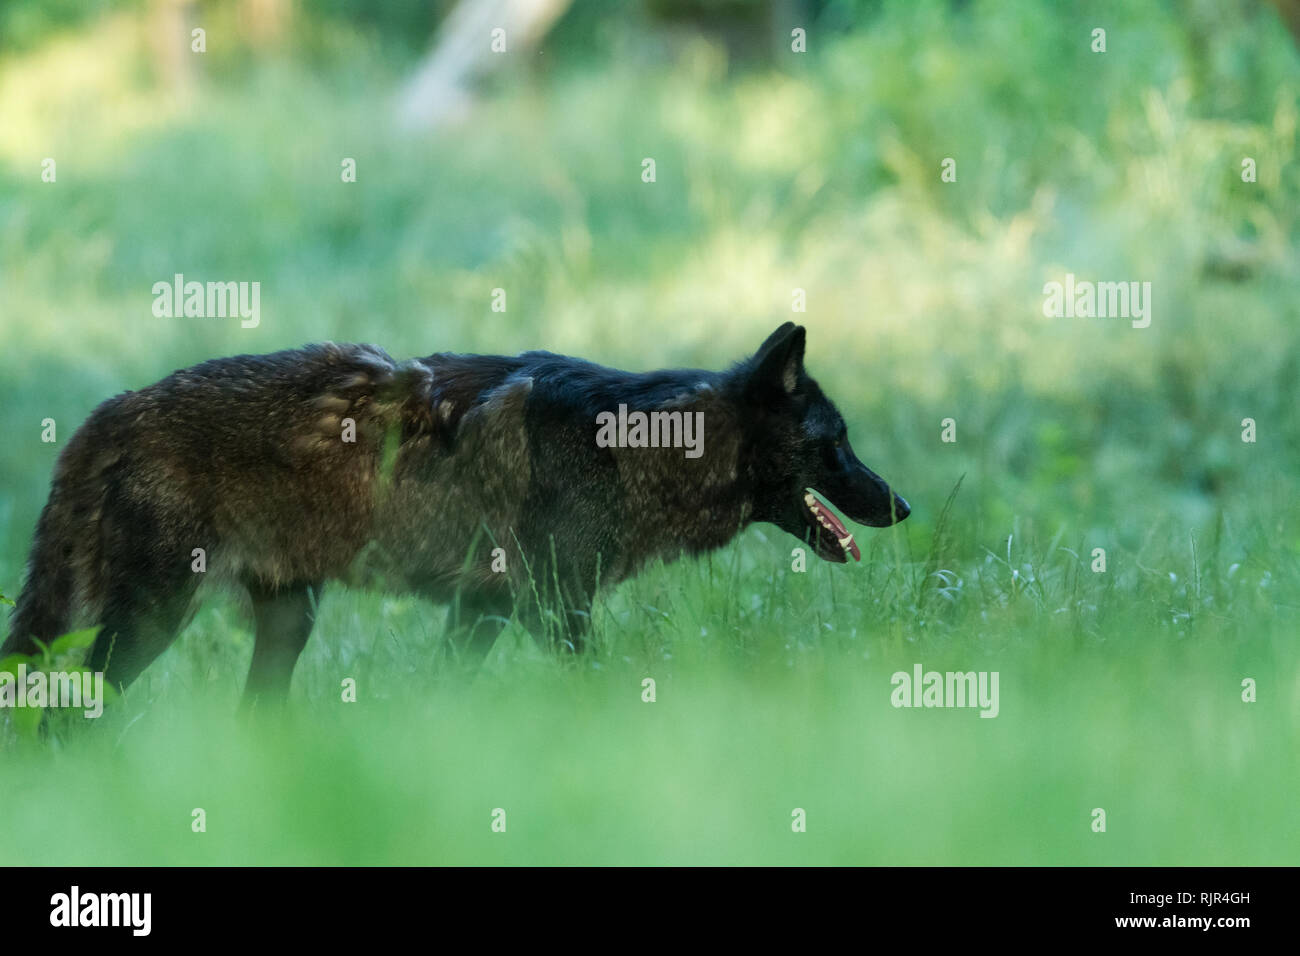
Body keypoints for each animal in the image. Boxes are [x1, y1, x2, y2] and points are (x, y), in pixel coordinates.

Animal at [0, 321, 909, 702]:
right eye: (839, 443)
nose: (904, 505)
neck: (641, 447)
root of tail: (107, 413)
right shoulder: (554, 611)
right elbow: (603, 686)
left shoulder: (483, 612)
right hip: (150, 627)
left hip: (287, 624)